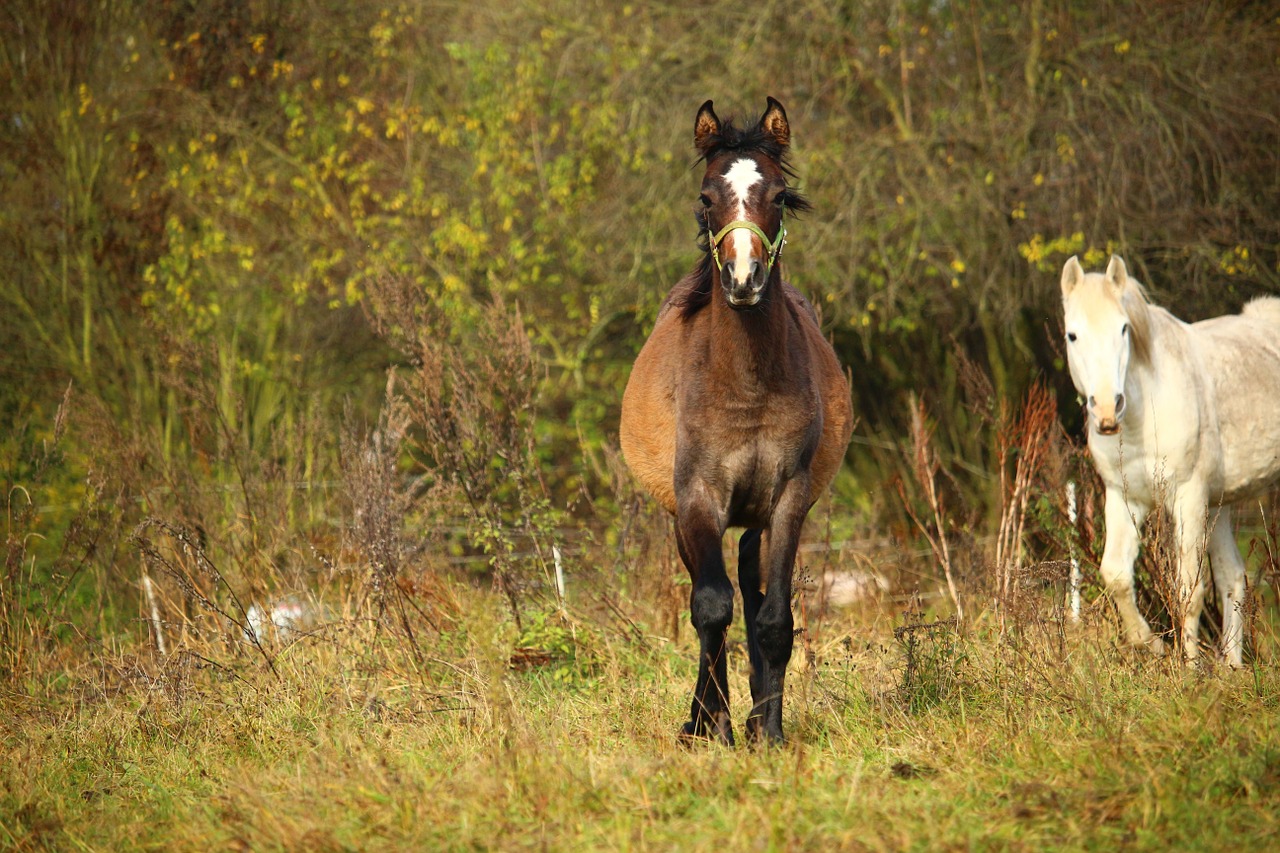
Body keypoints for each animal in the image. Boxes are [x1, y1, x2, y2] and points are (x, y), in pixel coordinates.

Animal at [622, 96, 855, 742]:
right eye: (706, 197)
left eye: (778, 195)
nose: (744, 279)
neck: (745, 384)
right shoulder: (699, 499)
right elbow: (710, 607)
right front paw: (710, 726)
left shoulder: (787, 499)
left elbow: (773, 618)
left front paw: (767, 731)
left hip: (755, 516)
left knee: (751, 584)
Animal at [1059, 252, 1280, 666]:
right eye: (1072, 335)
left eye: (1124, 329)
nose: (1107, 410)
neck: (1144, 412)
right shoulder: (1124, 497)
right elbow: (1116, 575)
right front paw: (1151, 644)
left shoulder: (1187, 498)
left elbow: (1188, 592)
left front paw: (1190, 669)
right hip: (1218, 504)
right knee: (1232, 577)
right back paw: (1231, 667)